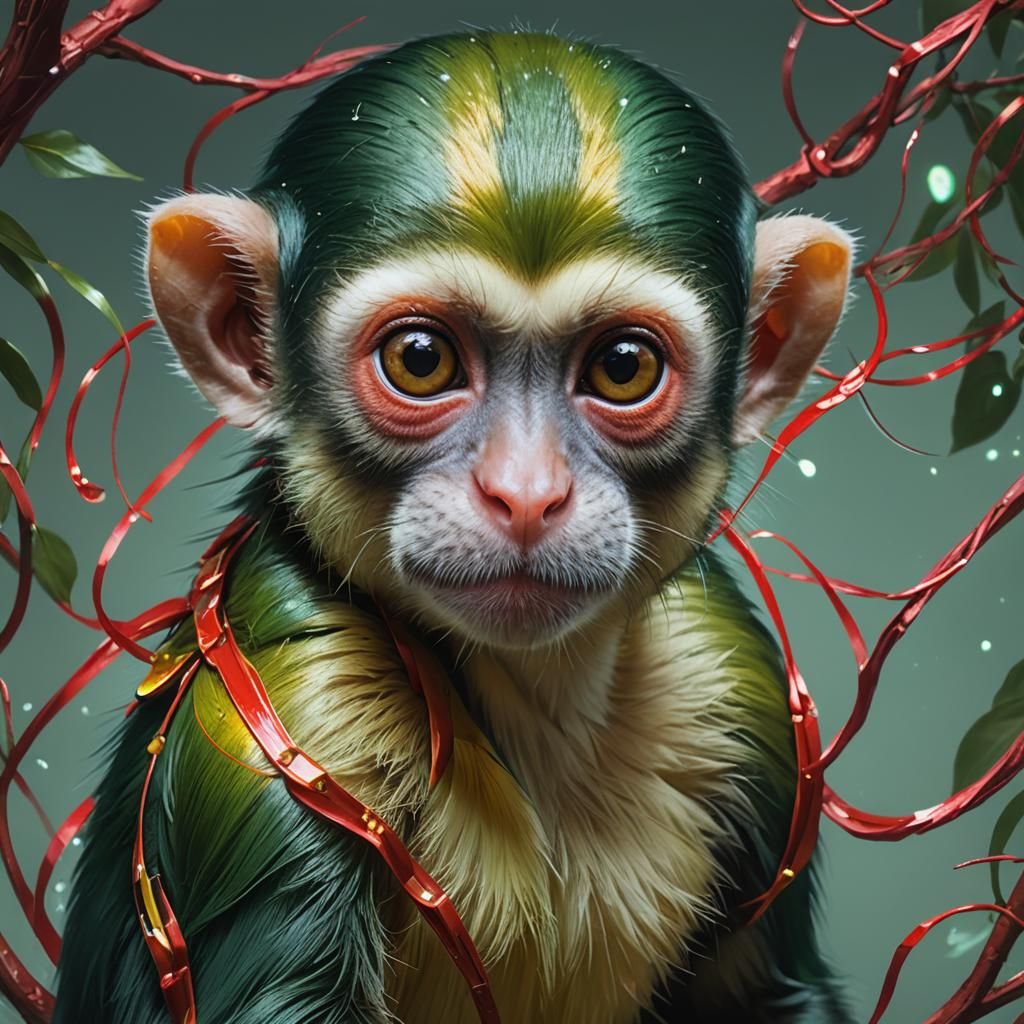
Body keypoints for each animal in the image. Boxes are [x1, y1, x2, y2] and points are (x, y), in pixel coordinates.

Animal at [50, 30, 856, 1024]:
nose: (525, 493)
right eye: (421, 360)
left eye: (622, 367)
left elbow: (773, 994)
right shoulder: (291, 714)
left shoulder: (736, 677)